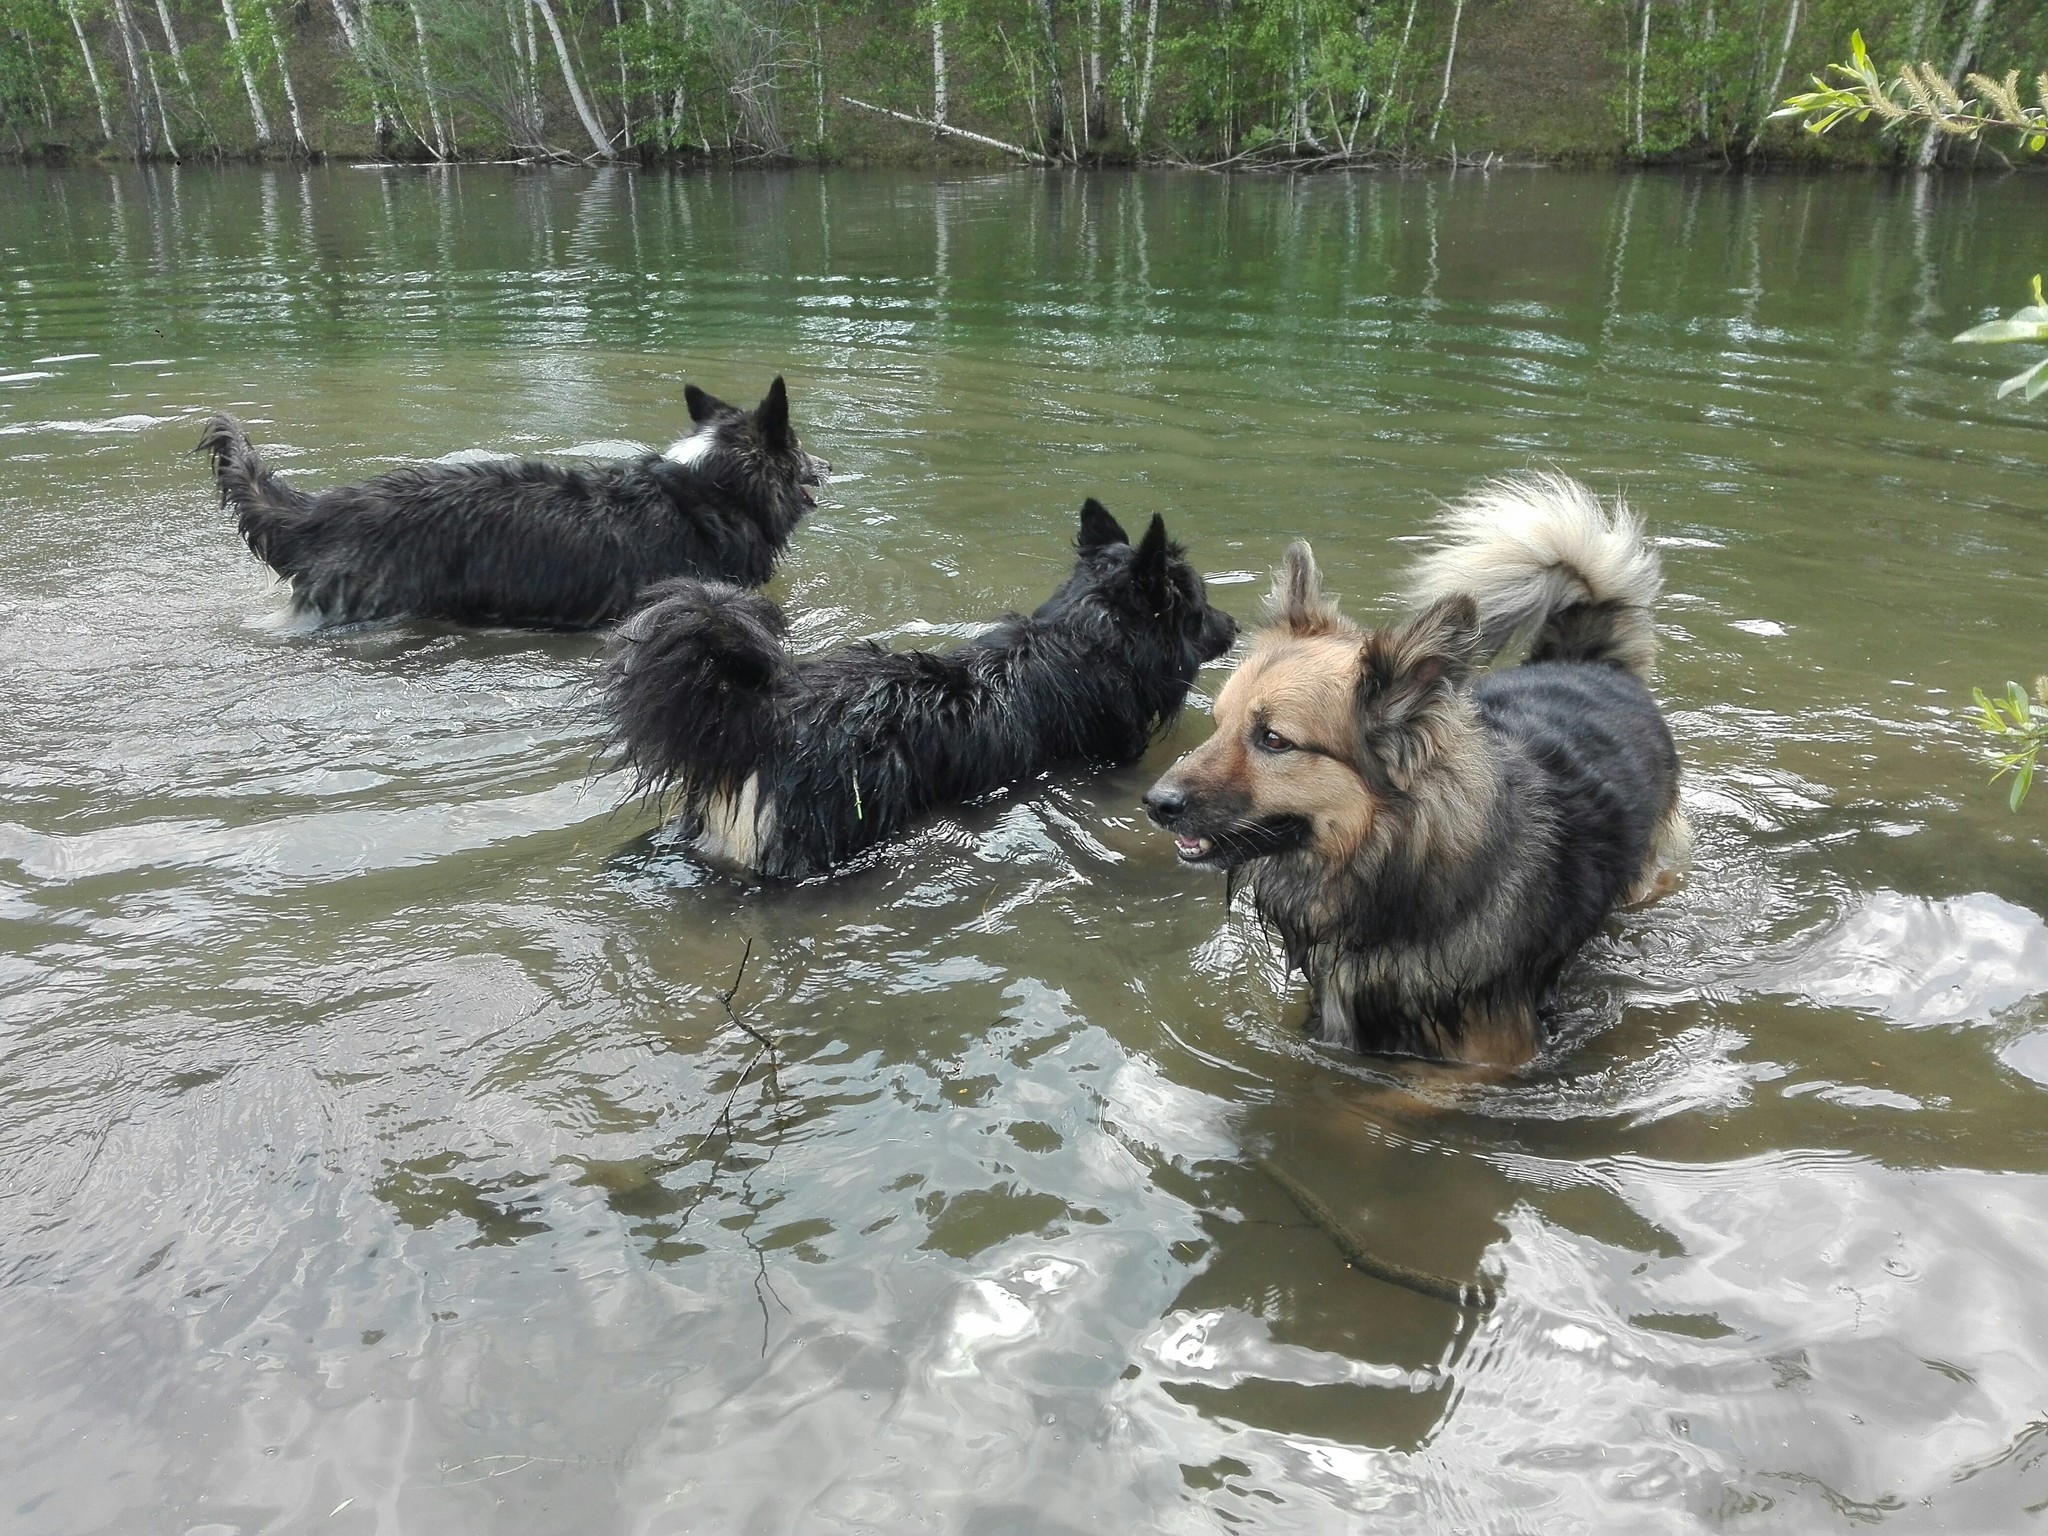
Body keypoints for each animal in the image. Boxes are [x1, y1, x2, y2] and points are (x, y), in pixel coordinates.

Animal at [1146, 479, 1687, 1073]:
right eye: (1218, 723)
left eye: (1273, 740)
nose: (1155, 803)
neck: (1400, 862)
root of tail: (1592, 662)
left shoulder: (1488, 1056)